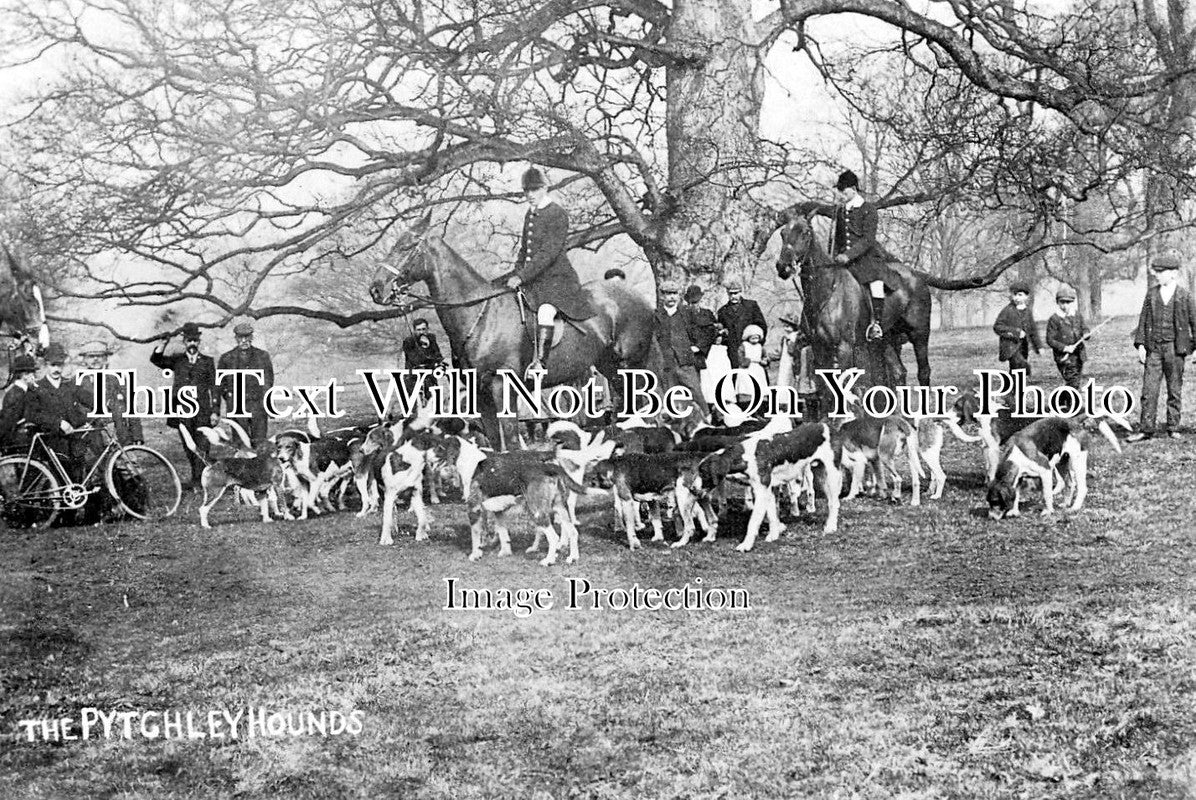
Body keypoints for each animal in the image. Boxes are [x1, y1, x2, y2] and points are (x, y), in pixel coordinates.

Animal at [365, 215, 664, 447]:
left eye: (405, 246)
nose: (376, 289)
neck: (480, 315)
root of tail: (639, 299)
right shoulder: (481, 394)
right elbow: (496, 444)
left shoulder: (501, 387)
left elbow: (509, 439)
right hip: (611, 367)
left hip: (632, 364)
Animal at [775, 210, 932, 394]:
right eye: (782, 233)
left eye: (805, 233)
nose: (783, 267)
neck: (826, 291)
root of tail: (917, 276)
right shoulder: (819, 347)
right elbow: (825, 390)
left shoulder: (844, 347)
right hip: (886, 339)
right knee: (899, 372)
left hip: (919, 333)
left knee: (924, 372)